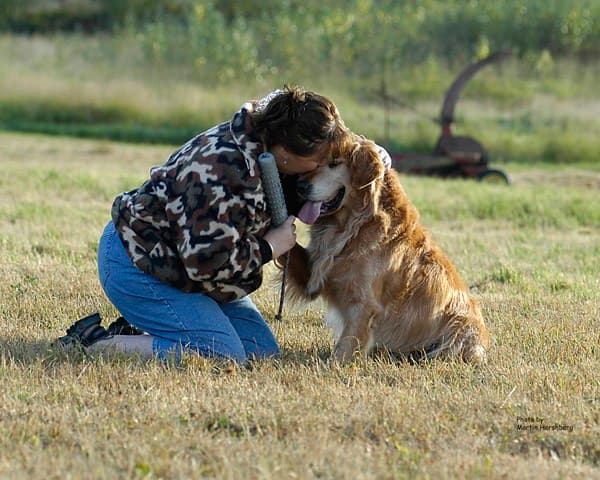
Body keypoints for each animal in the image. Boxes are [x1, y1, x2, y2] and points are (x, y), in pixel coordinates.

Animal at [284, 138, 488, 364]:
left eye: (334, 163)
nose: (299, 186)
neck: (358, 225)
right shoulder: (314, 275)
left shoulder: (364, 305)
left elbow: (345, 345)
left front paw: (332, 365)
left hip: (458, 328)